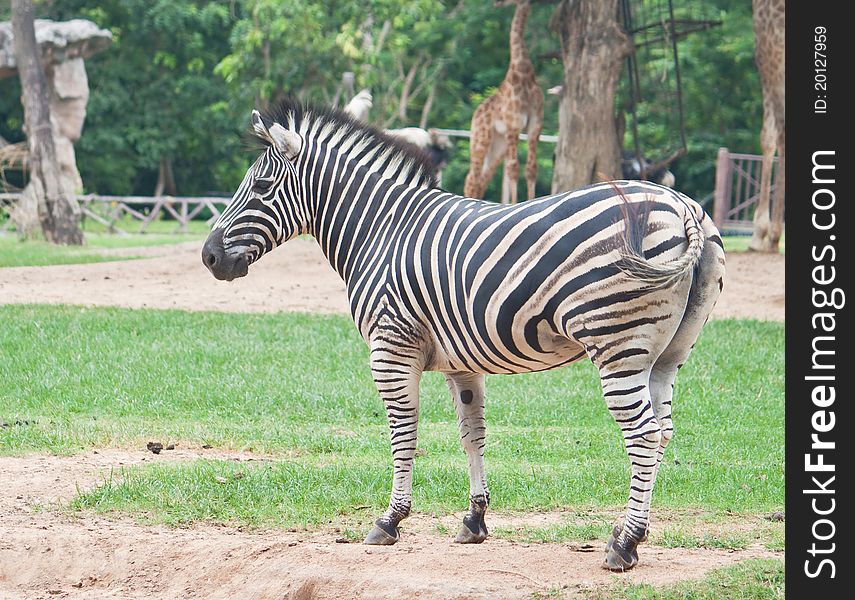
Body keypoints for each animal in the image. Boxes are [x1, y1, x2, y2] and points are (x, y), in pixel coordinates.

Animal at [204, 99, 724, 572]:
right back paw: (628, 532)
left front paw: (390, 520)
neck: (380, 230)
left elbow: (403, 435)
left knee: (643, 434)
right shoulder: (462, 364)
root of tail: (683, 206)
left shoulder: (390, 348)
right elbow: (472, 435)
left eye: (262, 186)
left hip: (617, 345)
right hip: (667, 354)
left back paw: (625, 545)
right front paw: (474, 520)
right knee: (662, 432)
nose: (209, 257)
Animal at [464, 0, 544, 204]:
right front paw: (516, 204)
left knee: (482, 180)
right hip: (480, 140)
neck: (524, 74)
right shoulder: (513, 125)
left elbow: (531, 169)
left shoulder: (535, 125)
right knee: (472, 178)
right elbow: (513, 169)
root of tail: (475, 115)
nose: (497, 3)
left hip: (497, 146)